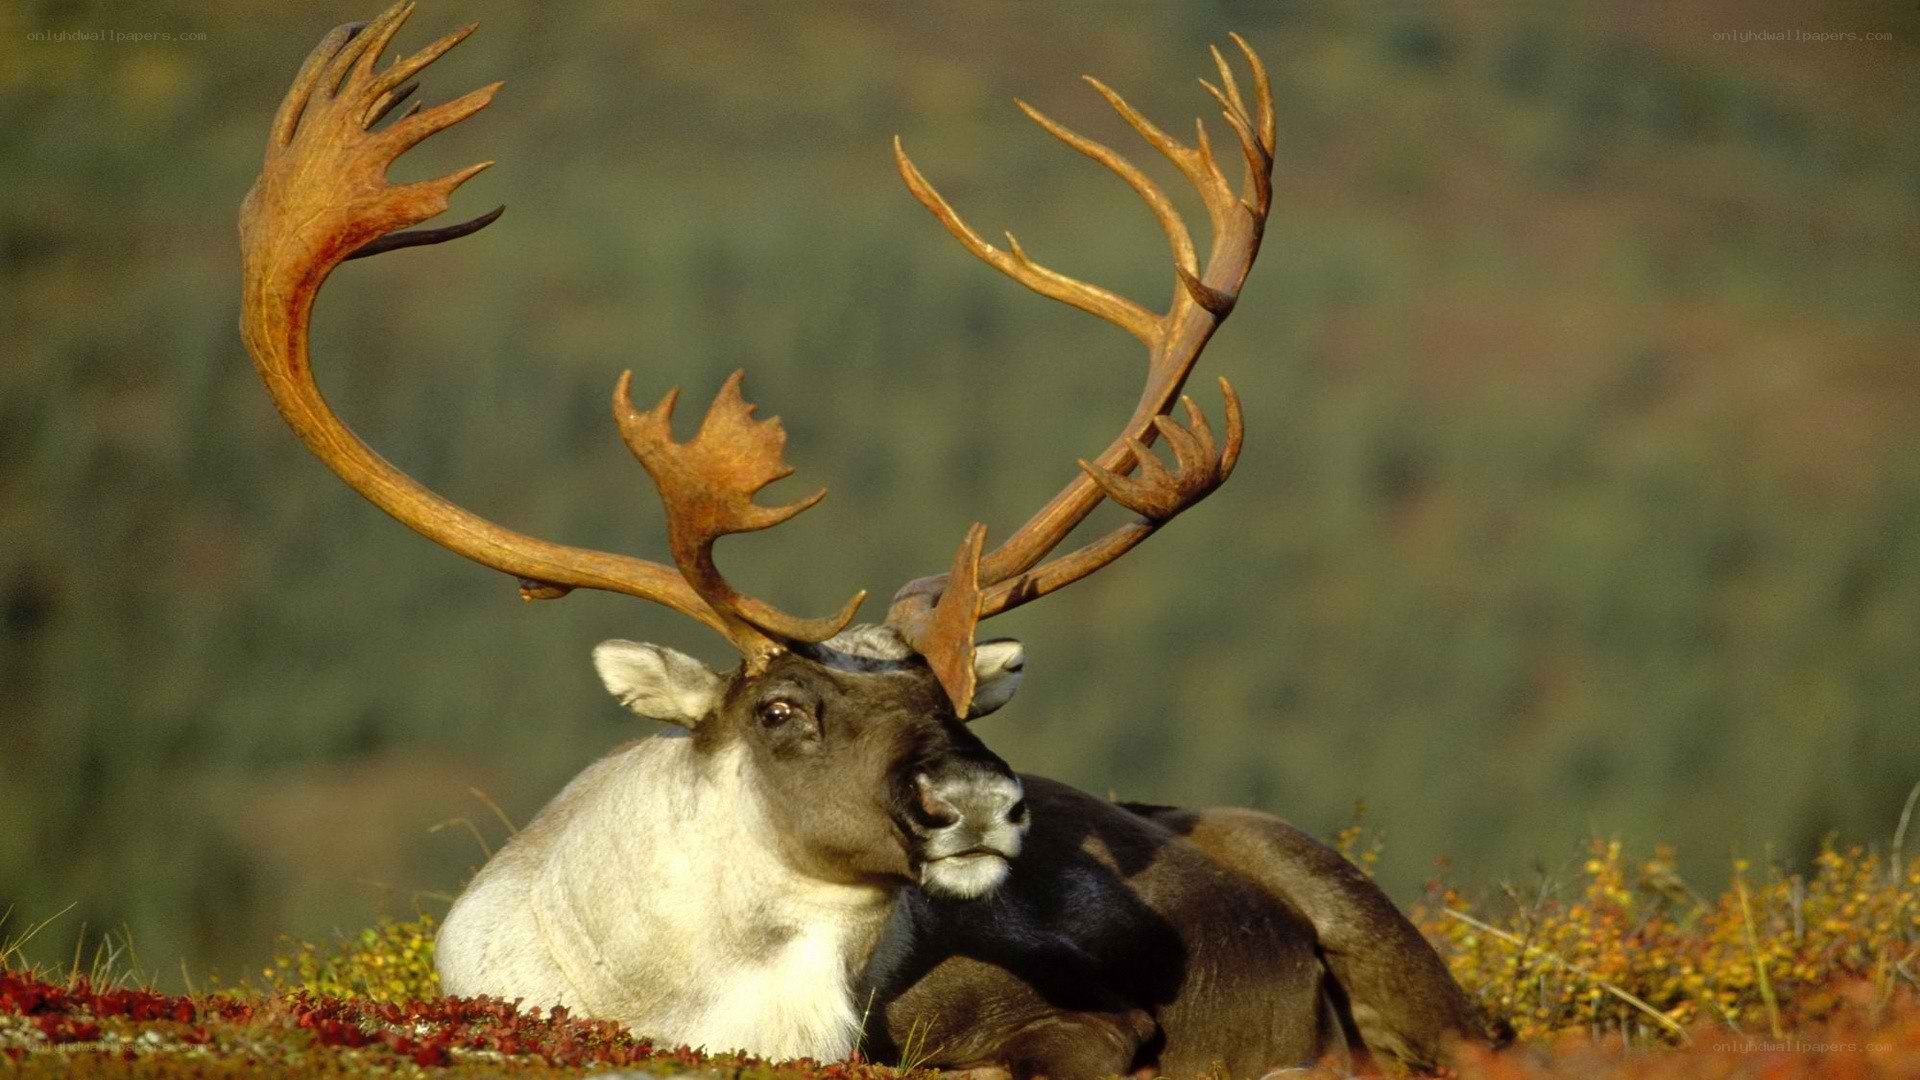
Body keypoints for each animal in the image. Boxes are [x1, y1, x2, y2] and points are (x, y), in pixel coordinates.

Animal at [238, 4, 1501, 1076]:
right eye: (780, 710)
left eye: (958, 696)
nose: (982, 803)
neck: (703, 1003)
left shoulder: (1084, 1021)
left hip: (1362, 911)